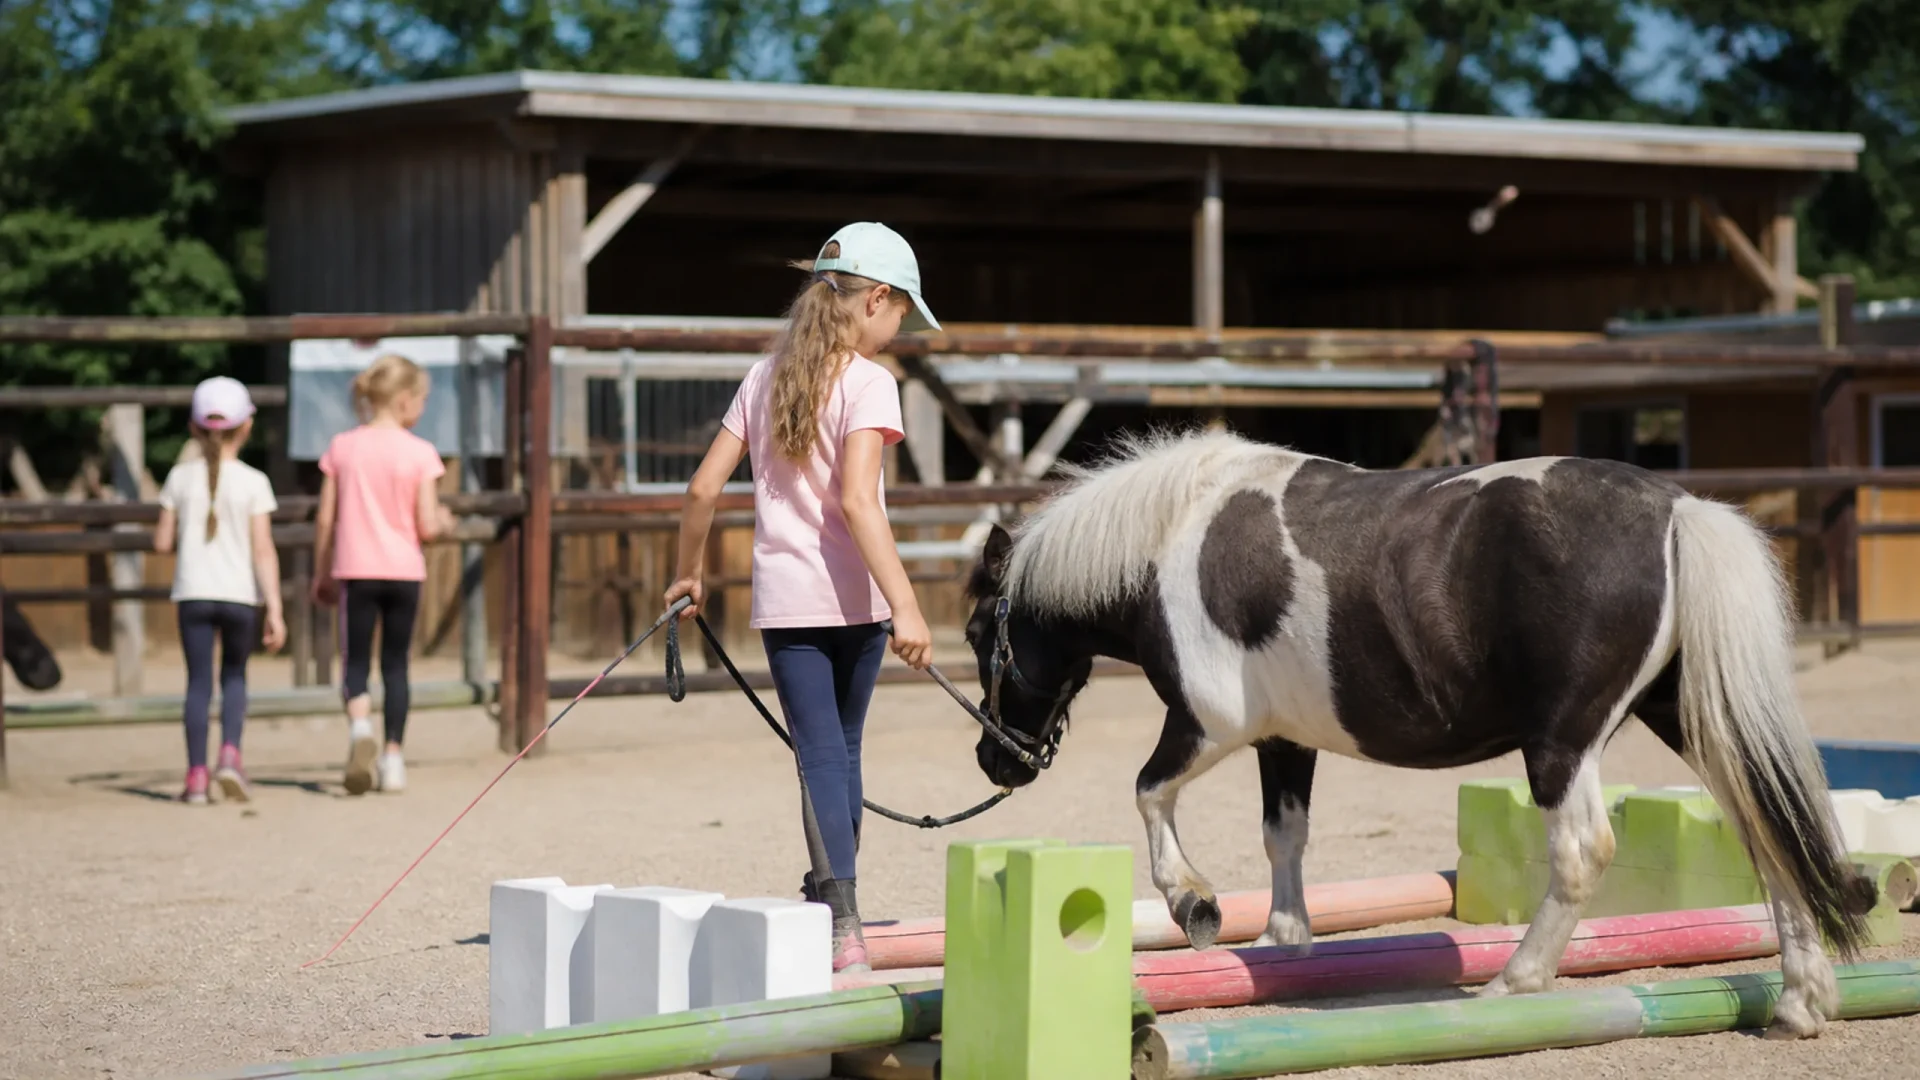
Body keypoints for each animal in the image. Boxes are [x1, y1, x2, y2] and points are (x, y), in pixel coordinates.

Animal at [963, 429, 1873, 1040]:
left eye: (980, 633)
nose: (995, 760)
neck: (1174, 537)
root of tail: (1680, 511)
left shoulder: (1206, 724)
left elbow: (1150, 794)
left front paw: (1196, 904)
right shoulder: (1282, 742)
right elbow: (1284, 838)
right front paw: (1287, 948)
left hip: (1562, 743)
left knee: (1585, 851)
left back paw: (1518, 981)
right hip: (1686, 716)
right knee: (1767, 831)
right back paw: (1801, 1000)